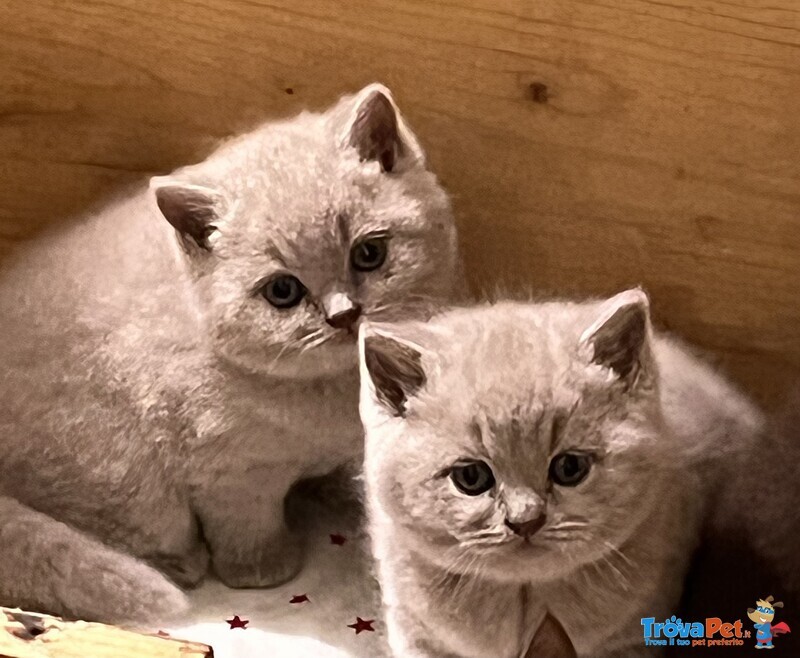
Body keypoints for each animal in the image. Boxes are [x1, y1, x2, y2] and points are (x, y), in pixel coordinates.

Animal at [0, 82, 462, 620]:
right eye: (282, 291)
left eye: (370, 253)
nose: (344, 315)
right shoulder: (226, 472)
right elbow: (246, 524)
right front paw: (264, 568)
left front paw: (342, 492)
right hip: (126, 477)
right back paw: (182, 564)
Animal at [358, 290, 764, 656]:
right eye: (471, 477)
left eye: (570, 468)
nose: (525, 521)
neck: (524, 597)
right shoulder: (415, 631)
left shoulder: (632, 637)